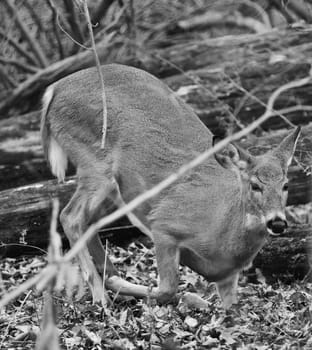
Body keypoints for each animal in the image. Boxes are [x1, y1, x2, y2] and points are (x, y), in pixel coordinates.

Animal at [40, 63, 300, 308]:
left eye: (286, 185)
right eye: (254, 185)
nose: (277, 222)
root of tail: (54, 89)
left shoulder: (228, 277)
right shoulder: (164, 224)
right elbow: (167, 289)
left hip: (115, 189)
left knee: (89, 222)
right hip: (95, 165)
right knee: (70, 217)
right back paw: (101, 295)